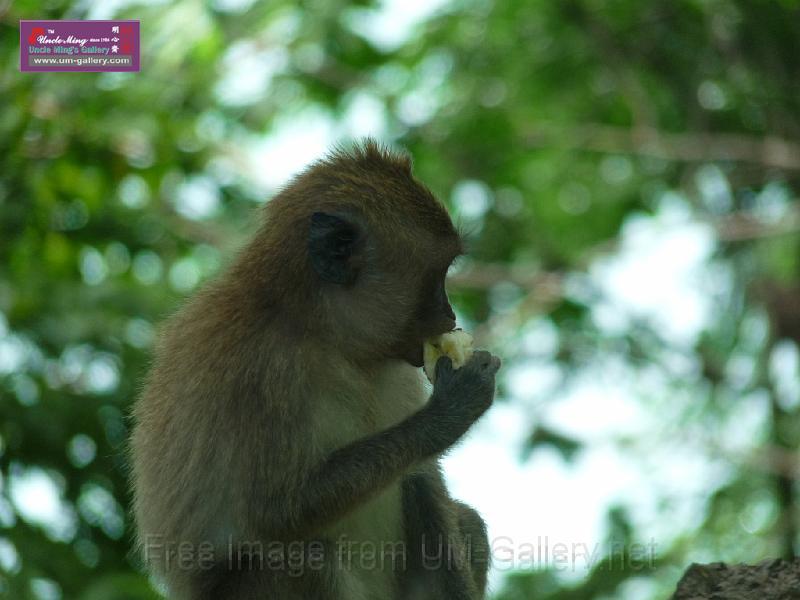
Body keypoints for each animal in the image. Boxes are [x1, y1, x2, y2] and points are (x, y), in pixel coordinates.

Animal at [130, 141, 500, 600]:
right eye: (438, 275)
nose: (450, 316)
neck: (328, 337)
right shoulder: (262, 368)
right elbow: (272, 513)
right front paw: (448, 414)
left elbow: (424, 479)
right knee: (305, 559)